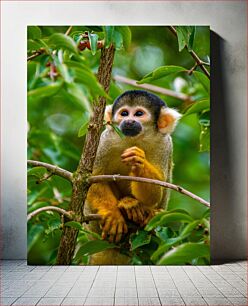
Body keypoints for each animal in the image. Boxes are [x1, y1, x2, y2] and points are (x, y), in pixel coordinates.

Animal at [84, 89, 181, 264]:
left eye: (139, 113)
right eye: (124, 113)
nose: (128, 121)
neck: (134, 139)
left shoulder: (164, 144)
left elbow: (157, 190)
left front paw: (138, 160)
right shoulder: (105, 140)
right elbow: (92, 179)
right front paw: (112, 214)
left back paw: (147, 212)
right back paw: (126, 206)